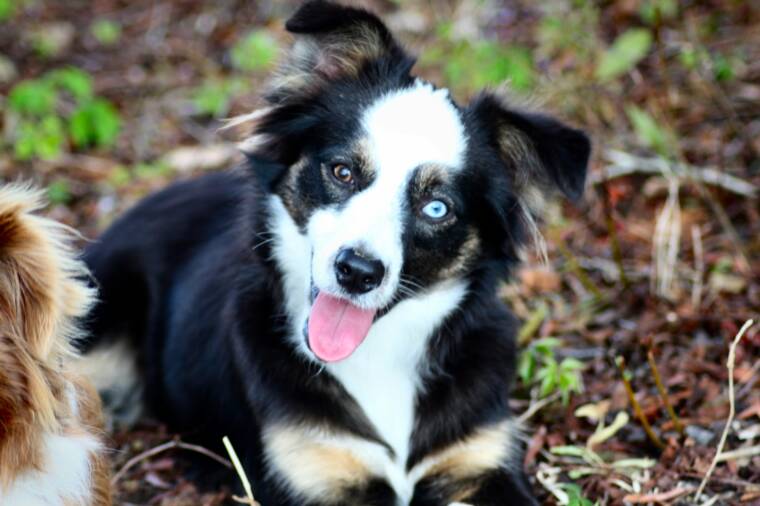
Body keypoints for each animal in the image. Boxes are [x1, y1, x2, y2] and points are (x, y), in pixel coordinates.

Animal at [83, 1, 592, 504]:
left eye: (436, 207)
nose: (358, 271)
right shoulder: (314, 473)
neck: (378, 357)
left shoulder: (479, 460)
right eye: (343, 171)